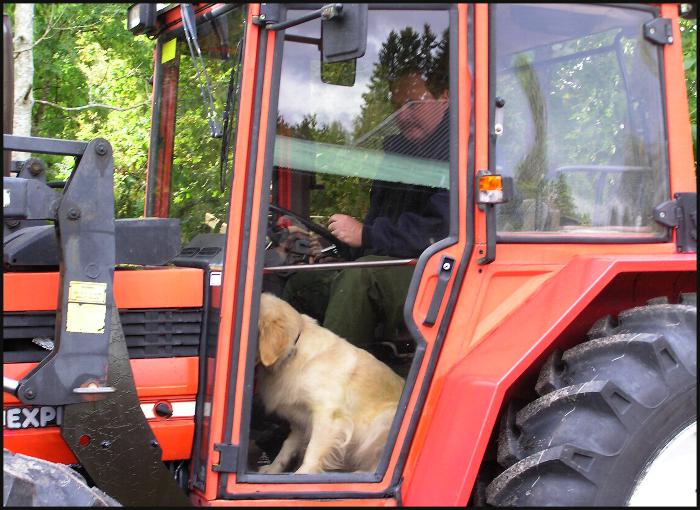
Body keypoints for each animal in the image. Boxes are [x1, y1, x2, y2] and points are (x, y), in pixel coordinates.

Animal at [256, 292, 404, 476]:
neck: (293, 354)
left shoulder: (327, 414)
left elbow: (313, 451)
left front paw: (302, 474)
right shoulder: (299, 420)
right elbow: (287, 447)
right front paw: (273, 469)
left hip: (383, 421)